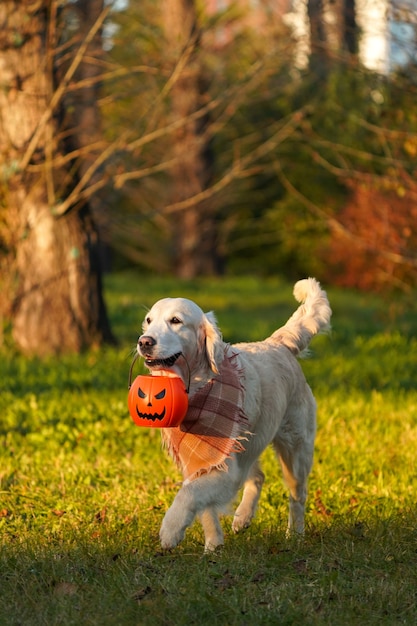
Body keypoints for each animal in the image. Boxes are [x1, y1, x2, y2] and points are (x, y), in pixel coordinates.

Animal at [137, 276, 332, 544]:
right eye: (148, 321)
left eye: (176, 321)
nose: (144, 341)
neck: (196, 388)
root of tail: (278, 342)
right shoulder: (199, 461)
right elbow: (205, 509)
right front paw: (213, 545)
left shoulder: (225, 468)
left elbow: (189, 493)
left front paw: (171, 529)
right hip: (248, 444)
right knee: (258, 476)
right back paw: (243, 517)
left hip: (295, 449)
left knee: (298, 495)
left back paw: (294, 534)